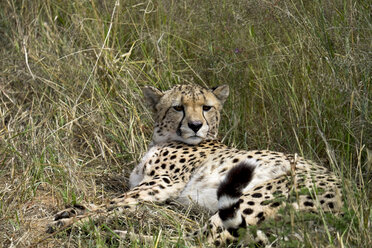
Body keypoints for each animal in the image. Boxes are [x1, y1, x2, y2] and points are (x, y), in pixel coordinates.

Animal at [46, 84, 342, 245]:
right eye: (178, 107)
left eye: (206, 107)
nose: (196, 125)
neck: (164, 138)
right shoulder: (152, 188)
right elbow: (113, 202)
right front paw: (75, 210)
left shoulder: (163, 183)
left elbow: (112, 204)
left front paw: (74, 221)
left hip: (258, 196)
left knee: (196, 242)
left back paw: (116, 235)